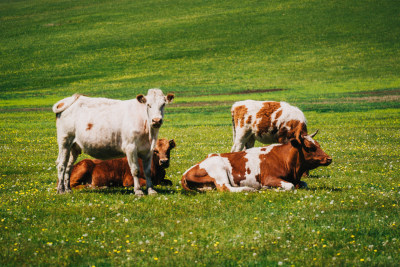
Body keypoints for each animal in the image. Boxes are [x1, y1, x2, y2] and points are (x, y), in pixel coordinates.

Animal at [181, 131, 332, 193]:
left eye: (318, 144)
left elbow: (304, 184)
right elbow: (290, 186)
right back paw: (249, 189)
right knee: (226, 188)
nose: (329, 158)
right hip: (219, 171)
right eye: (310, 147)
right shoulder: (269, 178)